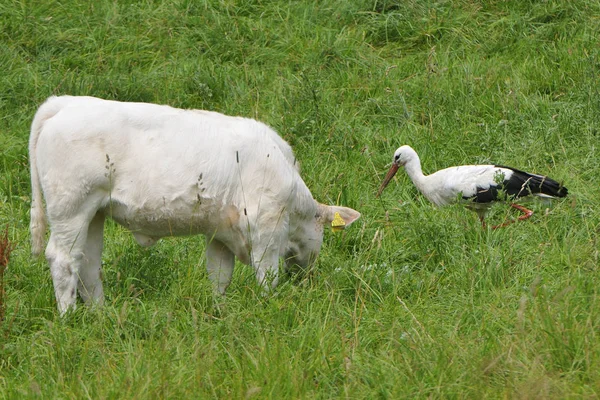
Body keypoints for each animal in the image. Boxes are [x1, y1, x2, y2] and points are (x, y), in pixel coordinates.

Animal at [30, 95, 360, 314]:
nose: (305, 277)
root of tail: (66, 103)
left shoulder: (221, 232)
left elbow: (219, 276)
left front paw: (219, 312)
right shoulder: (267, 230)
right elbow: (267, 276)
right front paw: (267, 306)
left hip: (94, 213)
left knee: (87, 263)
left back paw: (101, 315)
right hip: (70, 207)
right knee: (63, 260)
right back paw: (69, 317)